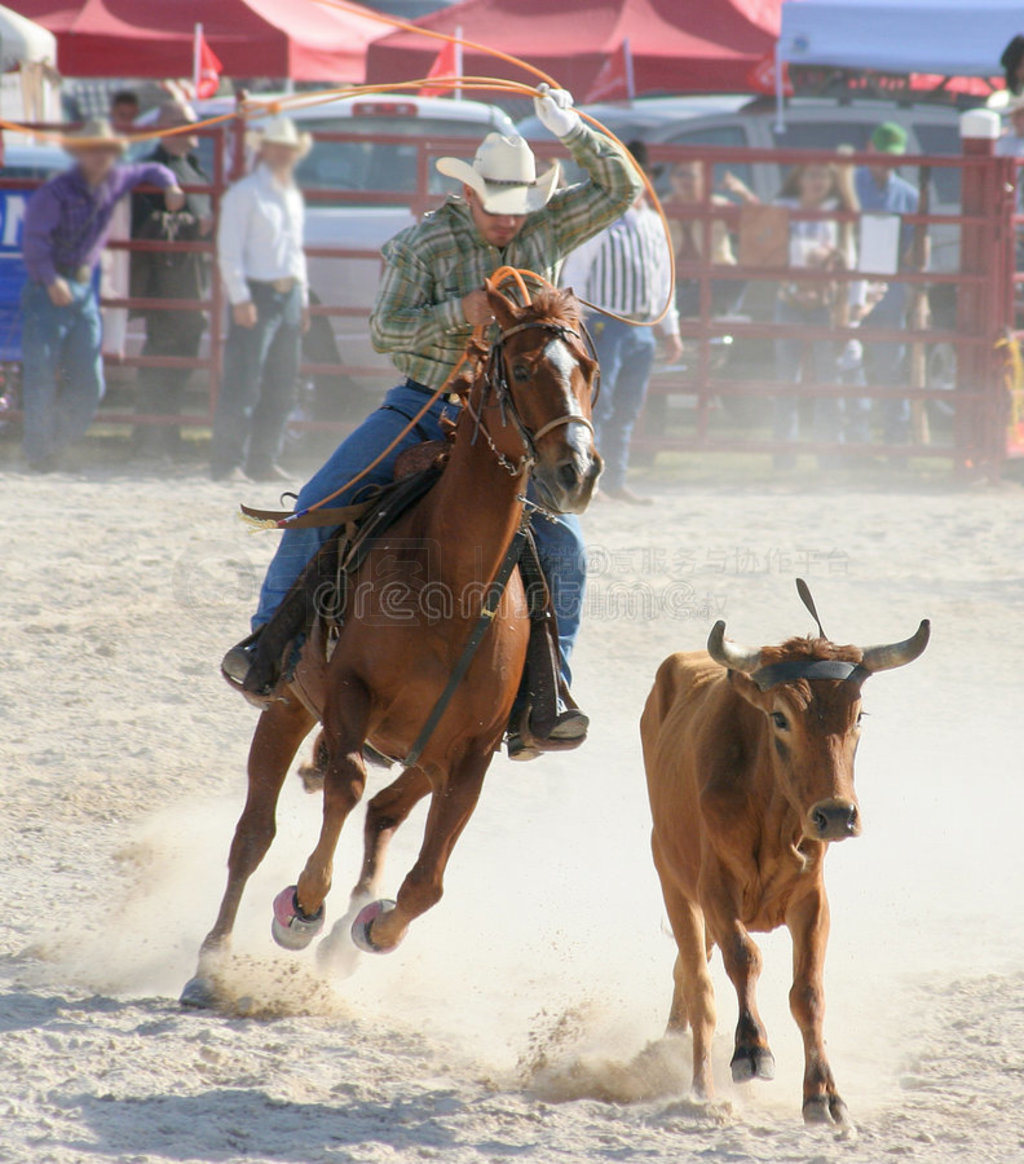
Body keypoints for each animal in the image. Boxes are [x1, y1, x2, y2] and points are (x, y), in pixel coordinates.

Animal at [181, 279, 600, 1001]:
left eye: (589, 372)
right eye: (521, 370)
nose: (576, 470)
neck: (451, 584)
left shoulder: (472, 753)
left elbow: (426, 882)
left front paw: (372, 928)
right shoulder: (350, 693)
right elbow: (344, 784)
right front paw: (304, 907)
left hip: (422, 753)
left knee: (382, 814)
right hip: (288, 705)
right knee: (255, 833)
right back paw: (212, 964)